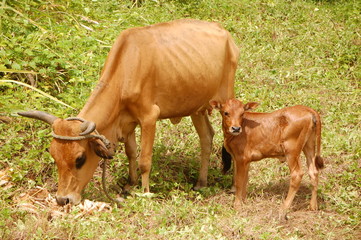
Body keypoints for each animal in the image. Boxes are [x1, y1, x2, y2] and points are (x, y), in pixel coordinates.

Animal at [19, 19, 239, 205]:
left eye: (80, 159)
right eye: (54, 156)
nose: (63, 199)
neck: (126, 70)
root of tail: (224, 32)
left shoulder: (149, 117)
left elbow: (144, 160)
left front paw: (145, 192)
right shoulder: (128, 121)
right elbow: (131, 152)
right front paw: (130, 185)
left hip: (226, 101)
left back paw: (234, 186)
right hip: (197, 107)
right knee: (207, 138)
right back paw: (201, 182)